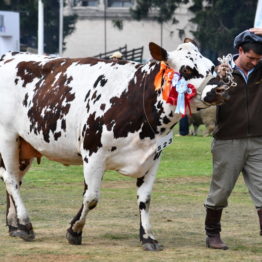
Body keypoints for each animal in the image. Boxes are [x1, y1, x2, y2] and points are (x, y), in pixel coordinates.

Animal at [0, 40, 229, 251]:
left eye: (212, 67)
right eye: (187, 69)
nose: (221, 89)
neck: (134, 97)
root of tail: (9, 55)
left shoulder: (153, 157)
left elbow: (145, 199)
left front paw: (148, 237)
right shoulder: (93, 153)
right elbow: (91, 197)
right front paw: (74, 230)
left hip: (24, 146)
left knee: (14, 180)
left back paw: (14, 226)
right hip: (8, 138)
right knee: (11, 180)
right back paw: (25, 224)